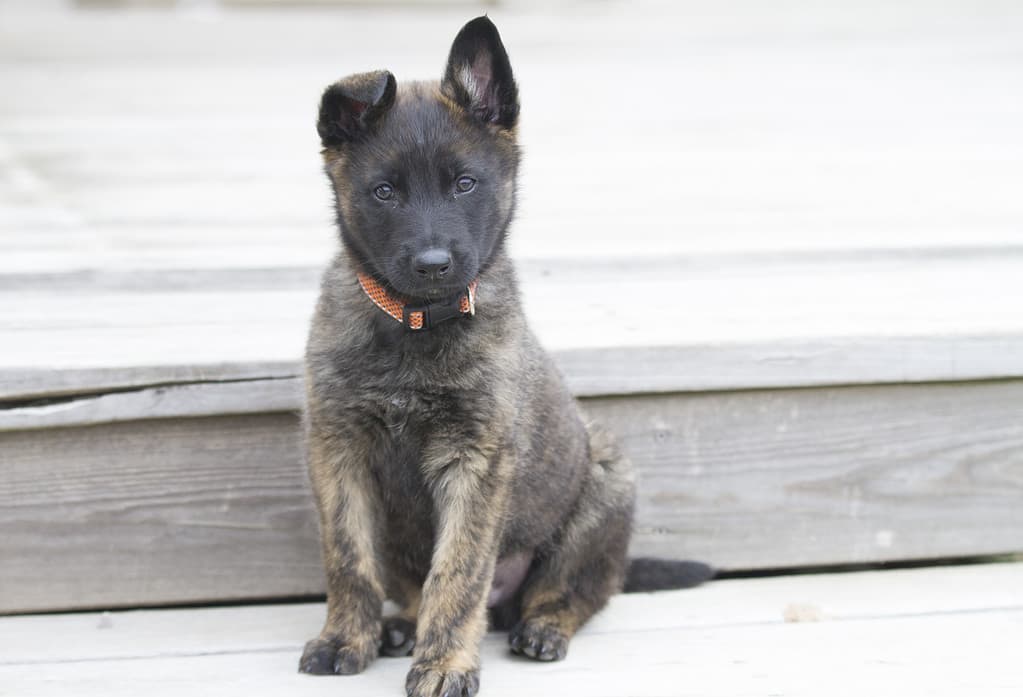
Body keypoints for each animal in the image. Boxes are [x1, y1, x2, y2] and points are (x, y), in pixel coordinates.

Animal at [296, 16, 712, 695]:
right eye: (384, 192)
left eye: (465, 184)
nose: (433, 264)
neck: (417, 326)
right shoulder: (339, 452)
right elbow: (348, 557)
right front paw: (344, 639)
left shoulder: (477, 461)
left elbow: (459, 573)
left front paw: (444, 664)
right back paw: (398, 627)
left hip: (605, 483)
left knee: (574, 591)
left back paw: (541, 627)